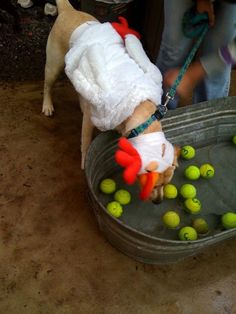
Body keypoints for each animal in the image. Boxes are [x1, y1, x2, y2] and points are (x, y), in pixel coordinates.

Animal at [42, 0, 179, 201]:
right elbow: (86, 143)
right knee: (47, 85)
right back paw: (47, 105)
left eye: (167, 185)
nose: (158, 202)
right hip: (54, 66)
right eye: (153, 184)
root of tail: (69, 10)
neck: (139, 108)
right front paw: (84, 163)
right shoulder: (89, 122)